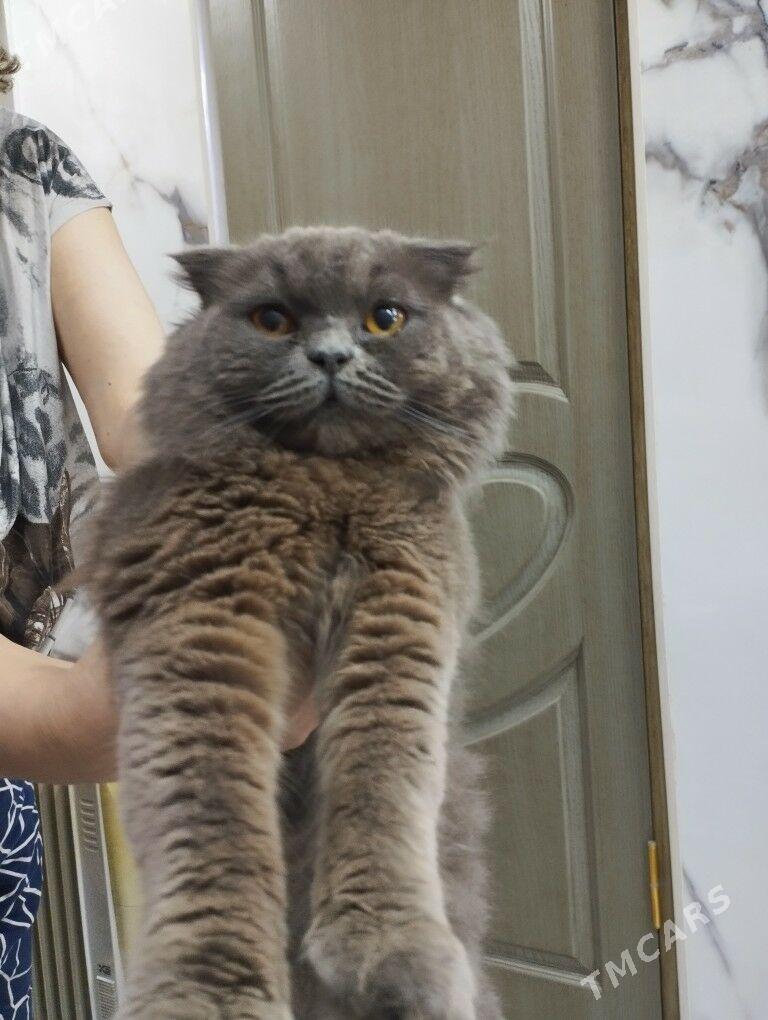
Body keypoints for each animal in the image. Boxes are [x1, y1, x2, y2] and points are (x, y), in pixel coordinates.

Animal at [87, 226, 513, 1020]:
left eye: (385, 317)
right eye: (273, 320)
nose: (331, 357)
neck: (322, 489)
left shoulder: (406, 600)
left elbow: (384, 782)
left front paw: (391, 953)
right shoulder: (199, 615)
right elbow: (212, 821)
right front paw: (208, 994)